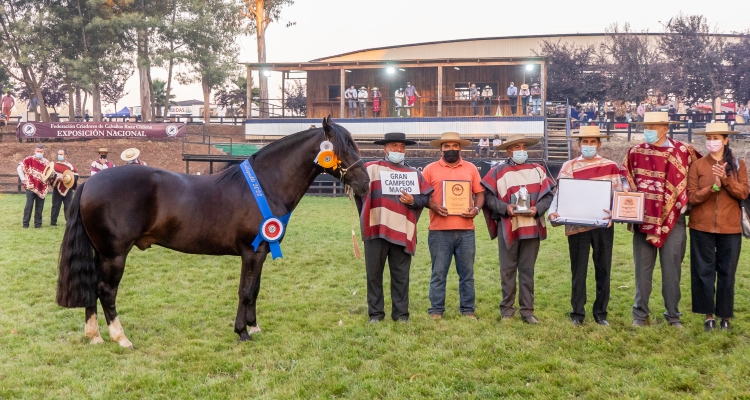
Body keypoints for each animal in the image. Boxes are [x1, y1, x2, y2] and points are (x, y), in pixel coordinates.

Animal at [55, 116, 370, 346]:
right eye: (343, 148)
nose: (365, 182)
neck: (266, 184)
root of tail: (90, 183)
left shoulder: (261, 251)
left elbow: (255, 289)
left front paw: (254, 327)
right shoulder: (251, 252)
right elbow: (245, 290)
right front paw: (242, 332)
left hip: (101, 253)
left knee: (92, 288)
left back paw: (95, 336)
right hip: (115, 255)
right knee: (106, 291)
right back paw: (121, 338)